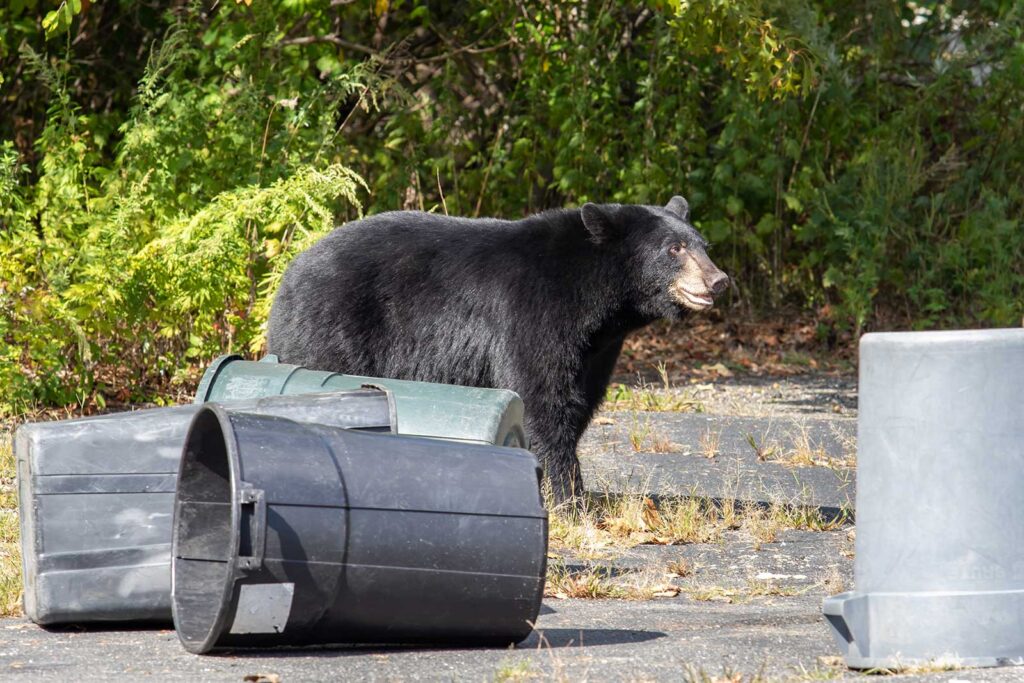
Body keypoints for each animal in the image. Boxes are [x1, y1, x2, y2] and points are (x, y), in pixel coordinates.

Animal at [266, 197, 729, 505]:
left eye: (703, 244)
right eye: (673, 248)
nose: (718, 280)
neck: (597, 300)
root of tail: (289, 275)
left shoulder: (596, 349)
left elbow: (578, 400)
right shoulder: (533, 313)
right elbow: (540, 396)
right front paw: (567, 496)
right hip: (333, 329)